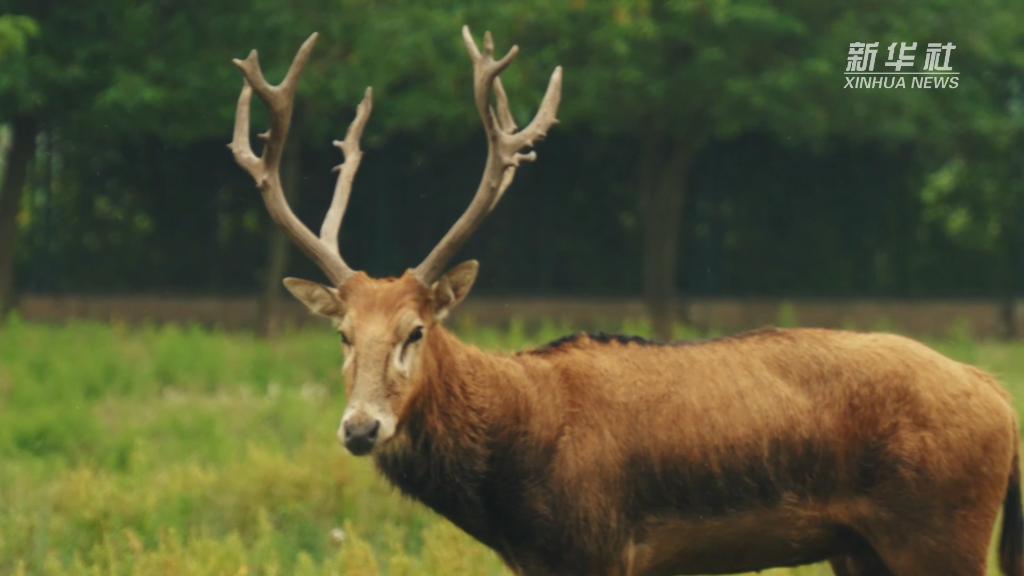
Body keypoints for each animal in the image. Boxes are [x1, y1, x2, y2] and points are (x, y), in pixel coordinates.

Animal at [229, 26, 1023, 576]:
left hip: (942, 530)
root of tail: (1000, 398)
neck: (511, 488)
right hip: (861, 548)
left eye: (415, 331)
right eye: (342, 335)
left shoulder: (600, 545)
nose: (361, 428)